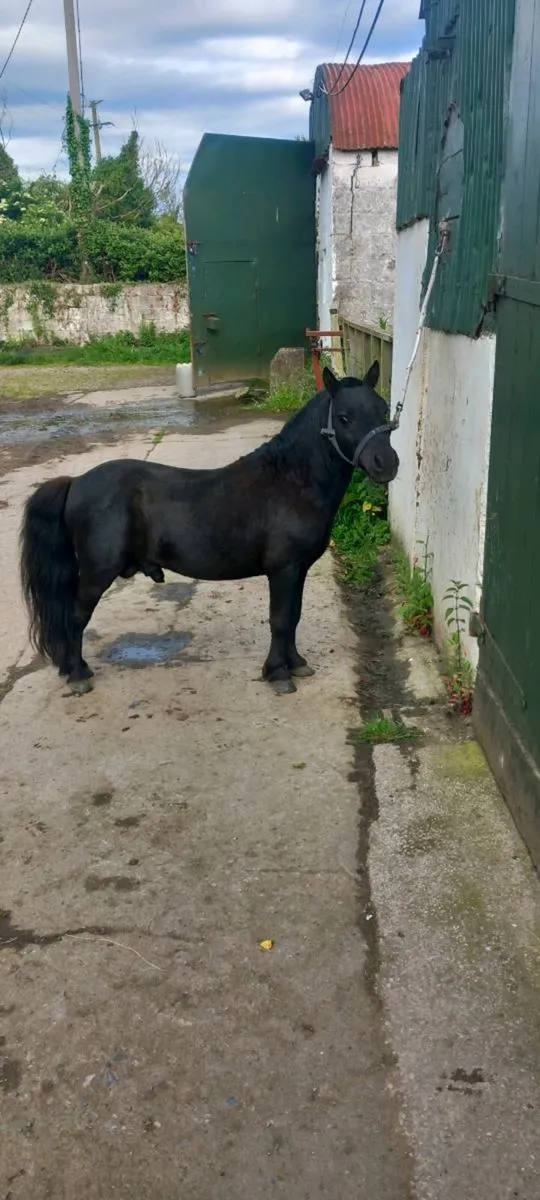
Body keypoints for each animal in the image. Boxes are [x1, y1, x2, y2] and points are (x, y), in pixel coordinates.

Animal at [20, 362, 399, 696]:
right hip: (97, 573)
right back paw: (78, 674)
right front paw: (278, 674)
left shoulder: (299, 570)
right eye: (344, 417)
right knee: (75, 618)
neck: (291, 481)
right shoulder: (283, 570)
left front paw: (296, 664)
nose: (387, 464)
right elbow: (279, 619)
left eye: (383, 410)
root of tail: (76, 481)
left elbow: (293, 617)